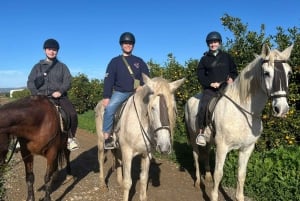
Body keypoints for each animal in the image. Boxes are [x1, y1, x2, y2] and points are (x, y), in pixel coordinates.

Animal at [184, 44, 294, 201]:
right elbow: (219, 174)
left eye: (289, 73)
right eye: (266, 73)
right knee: (196, 155)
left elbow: (241, 175)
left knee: (205, 154)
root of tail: (190, 99)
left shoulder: (246, 149)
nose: (282, 109)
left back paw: (207, 177)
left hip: (209, 140)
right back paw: (198, 182)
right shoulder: (222, 147)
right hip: (193, 136)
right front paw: (213, 196)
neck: (243, 113)